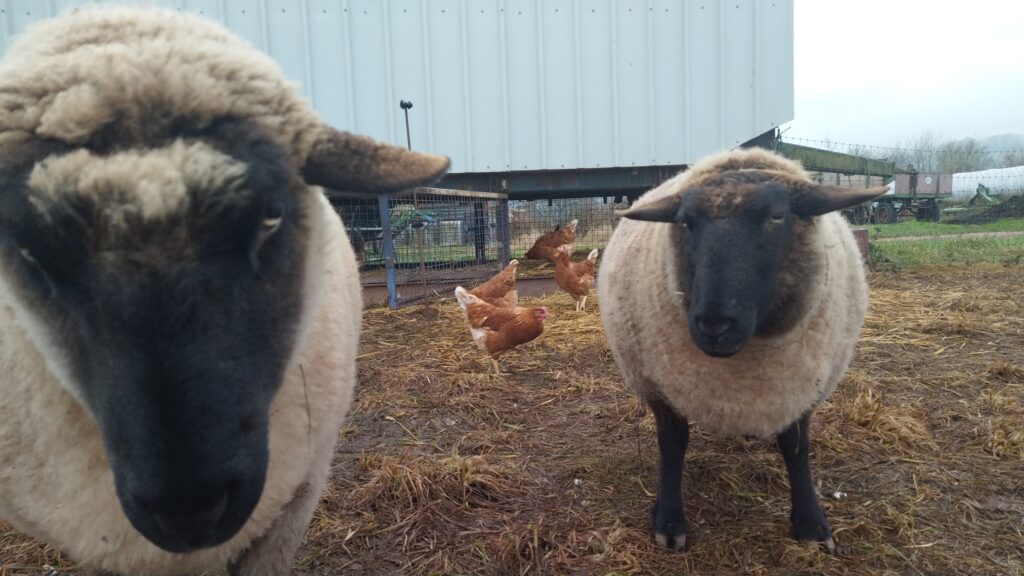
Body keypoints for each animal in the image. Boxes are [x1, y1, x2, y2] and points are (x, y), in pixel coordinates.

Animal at [597, 148, 885, 553]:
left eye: (777, 216)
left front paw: (811, 522)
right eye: (685, 222)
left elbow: (796, 447)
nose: (713, 324)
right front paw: (669, 519)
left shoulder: (803, 385)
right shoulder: (658, 383)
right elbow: (673, 444)